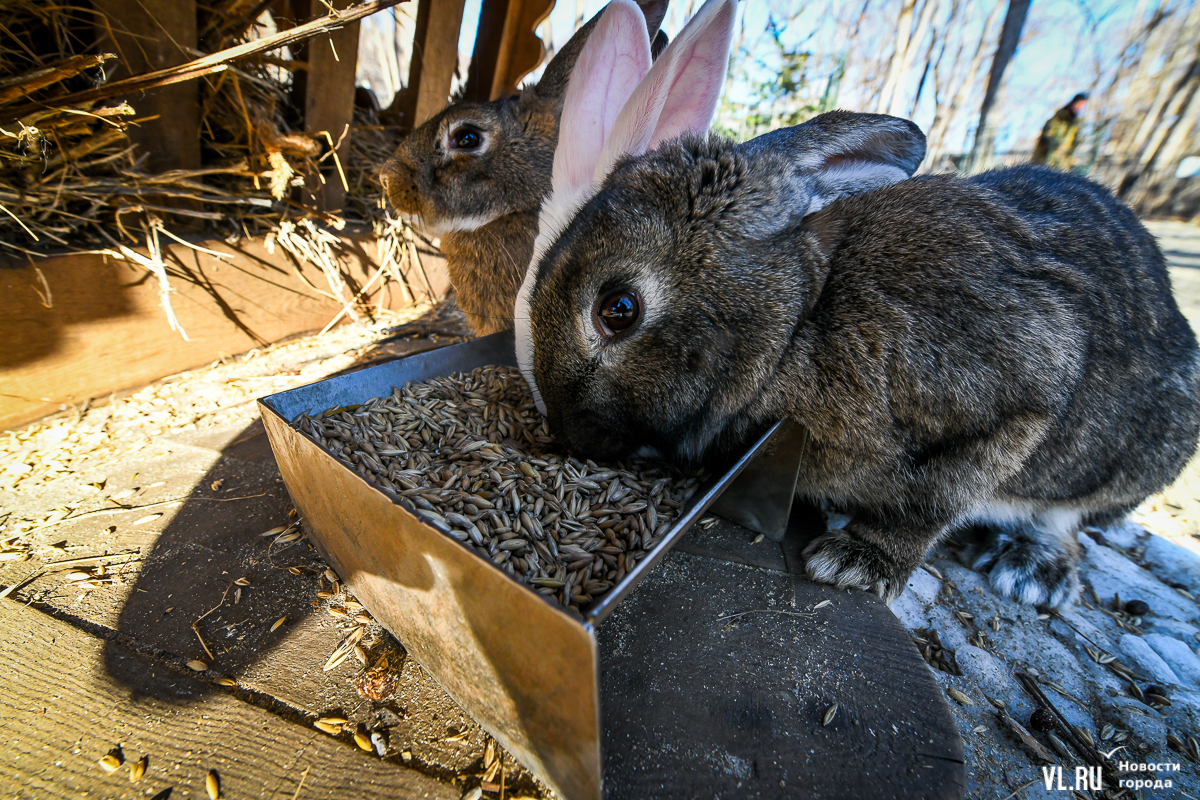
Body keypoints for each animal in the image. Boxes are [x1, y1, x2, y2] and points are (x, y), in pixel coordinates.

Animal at [511, 0, 1200, 606]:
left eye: (618, 309)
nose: (568, 435)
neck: (798, 321)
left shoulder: (1021, 392)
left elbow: (936, 500)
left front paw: (856, 564)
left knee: (1068, 520)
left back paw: (1031, 573)